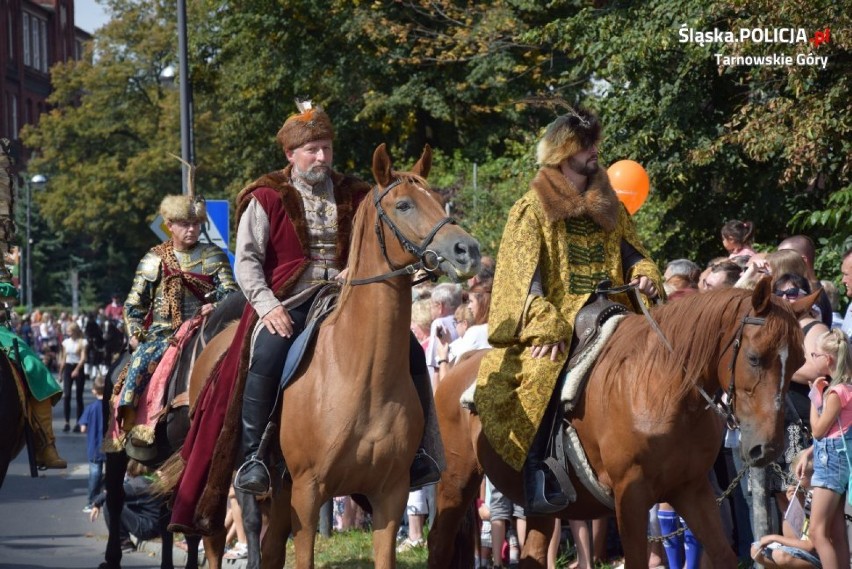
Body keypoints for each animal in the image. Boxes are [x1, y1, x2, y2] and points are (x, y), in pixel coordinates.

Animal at [430, 280, 816, 568]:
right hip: (457, 481)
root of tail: (461, 363)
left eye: (799, 361)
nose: (768, 447)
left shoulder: (690, 489)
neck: (662, 388)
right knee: (439, 543)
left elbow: (721, 554)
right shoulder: (630, 495)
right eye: (754, 358)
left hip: (539, 506)